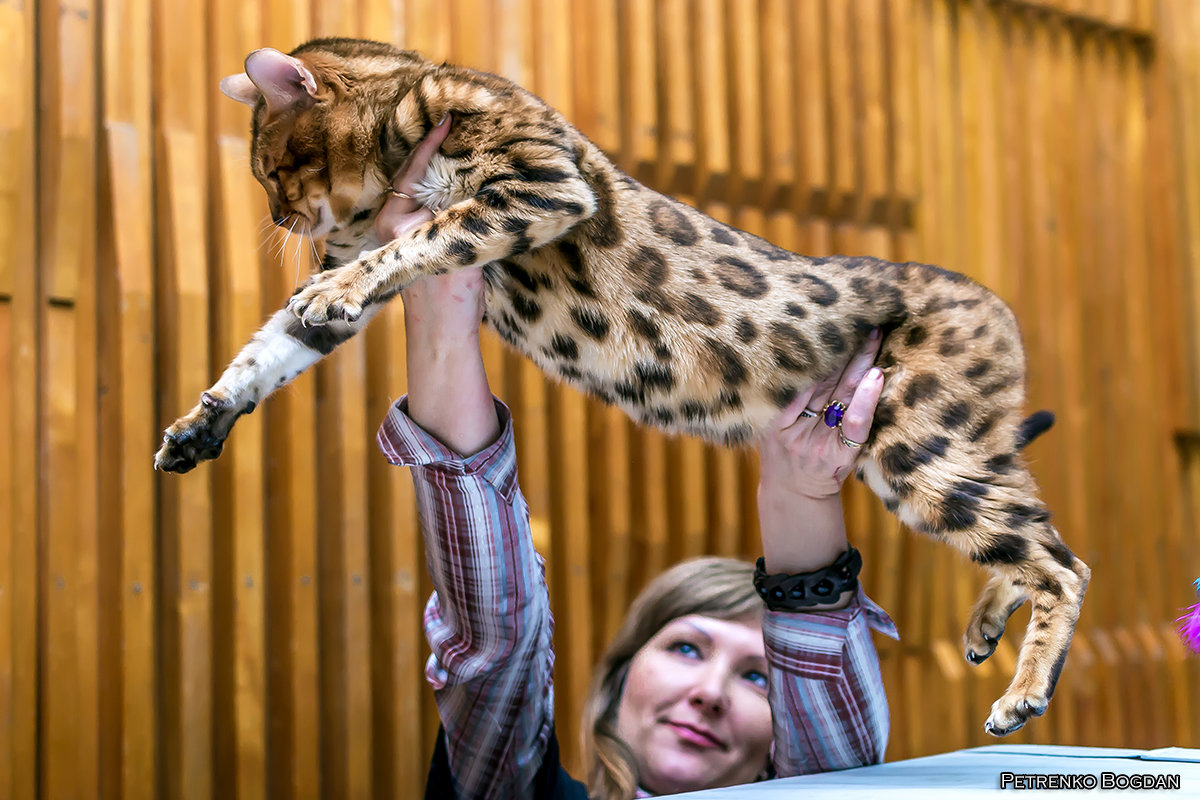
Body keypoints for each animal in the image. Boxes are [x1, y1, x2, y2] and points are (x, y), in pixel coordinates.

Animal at [152, 38, 1089, 738]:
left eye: (274, 166)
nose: (277, 217)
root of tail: (999, 311)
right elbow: (262, 354)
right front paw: (199, 425)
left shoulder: (535, 184)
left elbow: (413, 242)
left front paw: (340, 286)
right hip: (942, 447)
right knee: (1038, 534)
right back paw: (986, 625)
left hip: (919, 442)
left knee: (1062, 562)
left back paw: (1024, 693)